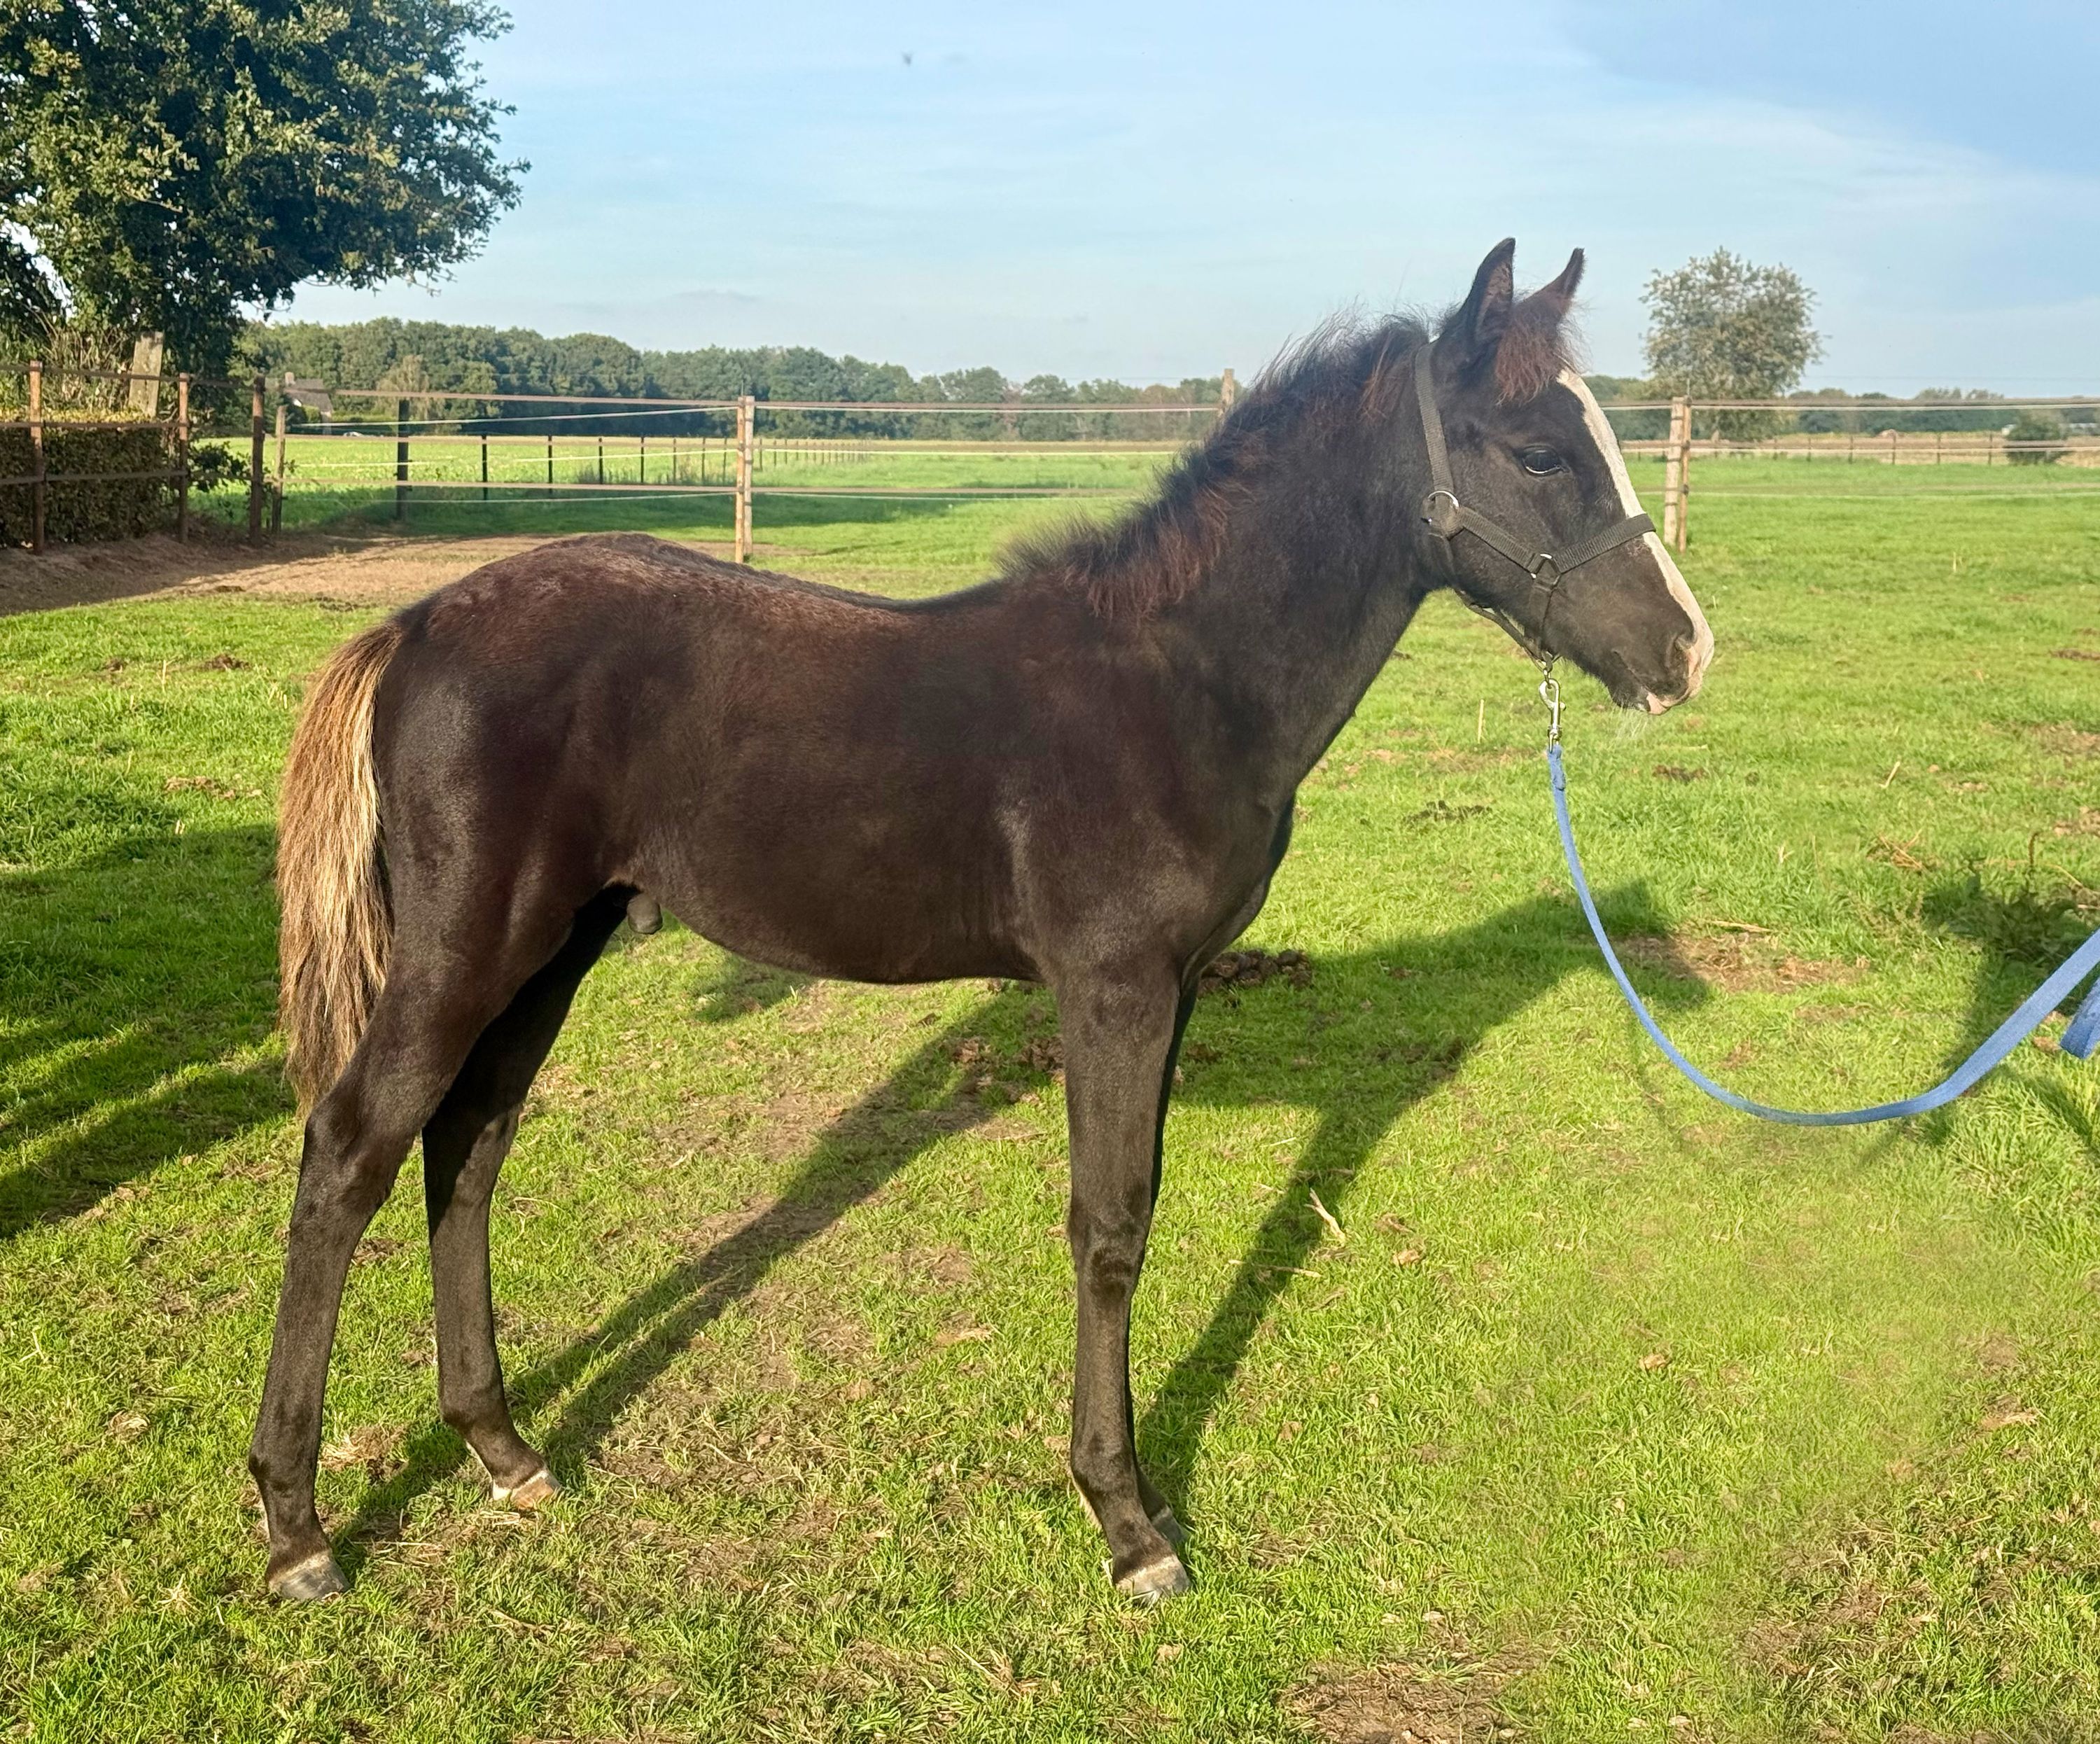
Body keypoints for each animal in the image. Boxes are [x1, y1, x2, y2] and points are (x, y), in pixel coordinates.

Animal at [252, 239, 1713, 1604]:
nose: (1686, 653)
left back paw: (502, 1452)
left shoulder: (1174, 988)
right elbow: (1110, 1226)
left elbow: (1137, 1204)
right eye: (1540, 451)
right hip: (467, 952)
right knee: (351, 1152)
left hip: (552, 950)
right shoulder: (1113, 985)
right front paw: (1128, 1522)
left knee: (468, 1150)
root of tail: (413, 625)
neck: (1177, 681)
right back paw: (297, 1527)